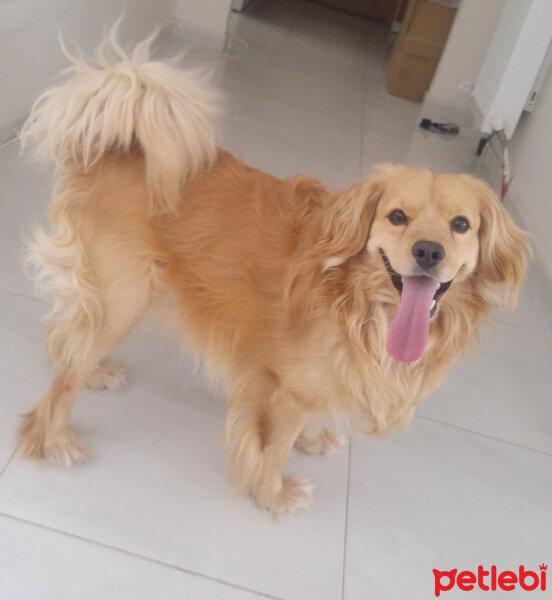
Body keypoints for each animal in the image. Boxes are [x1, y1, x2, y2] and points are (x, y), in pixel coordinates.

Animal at [16, 30, 528, 512]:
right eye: (397, 216)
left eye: (461, 225)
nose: (428, 251)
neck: (360, 301)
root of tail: (116, 148)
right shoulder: (288, 392)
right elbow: (274, 448)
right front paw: (272, 494)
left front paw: (312, 439)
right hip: (124, 295)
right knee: (66, 373)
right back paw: (54, 439)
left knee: (69, 336)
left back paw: (95, 371)